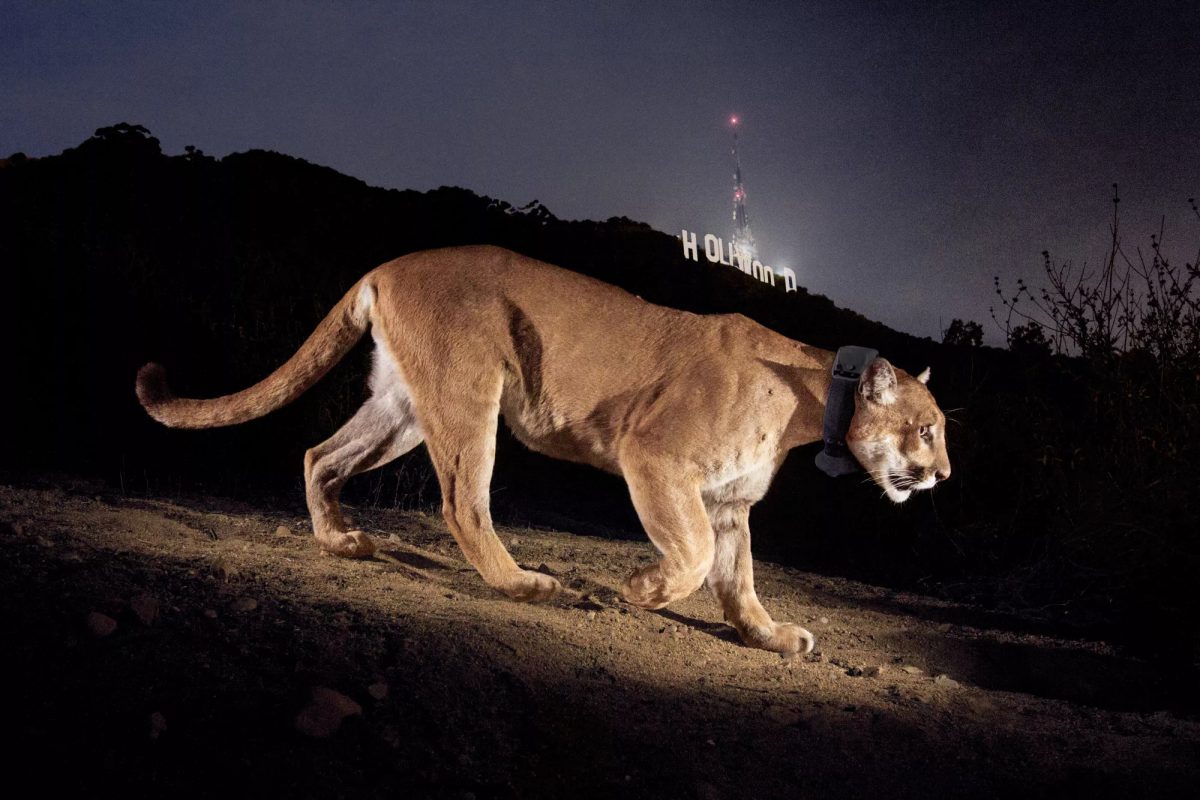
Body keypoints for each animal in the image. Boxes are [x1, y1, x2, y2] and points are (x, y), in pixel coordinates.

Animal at [136, 245, 950, 654]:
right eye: (927, 428)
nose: (942, 473)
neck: (812, 399)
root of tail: (389, 264)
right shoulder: (656, 458)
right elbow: (690, 559)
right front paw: (641, 589)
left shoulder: (728, 501)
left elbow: (738, 579)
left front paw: (771, 636)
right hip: (470, 392)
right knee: (462, 502)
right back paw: (527, 584)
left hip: (403, 407)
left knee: (319, 455)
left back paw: (341, 541)